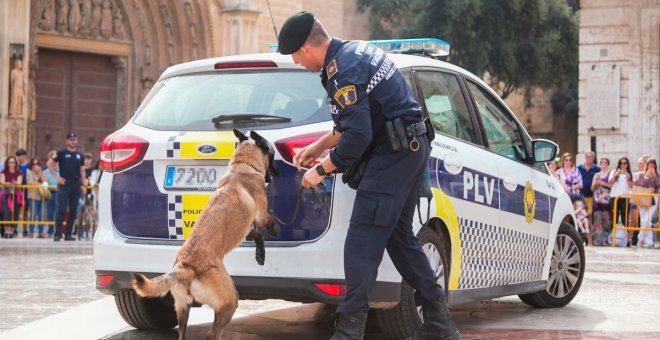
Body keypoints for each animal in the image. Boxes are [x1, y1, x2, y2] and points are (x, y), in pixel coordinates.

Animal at [131, 128, 278, 340]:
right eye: (272, 155)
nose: (278, 171)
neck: (242, 165)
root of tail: (185, 266)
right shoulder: (260, 215)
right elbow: (268, 222)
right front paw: (273, 230)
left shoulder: (248, 226)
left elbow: (258, 235)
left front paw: (260, 255)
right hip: (229, 301)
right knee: (212, 335)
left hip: (183, 309)